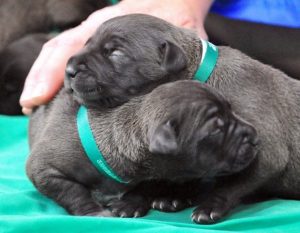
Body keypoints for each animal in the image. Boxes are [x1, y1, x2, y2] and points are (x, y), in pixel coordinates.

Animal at [26, 80, 258, 218]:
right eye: (216, 129)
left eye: (231, 109)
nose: (255, 136)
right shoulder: (44, 169)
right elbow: (72, 191)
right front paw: (93, 211)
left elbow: (144, 187)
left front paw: (130, 204)